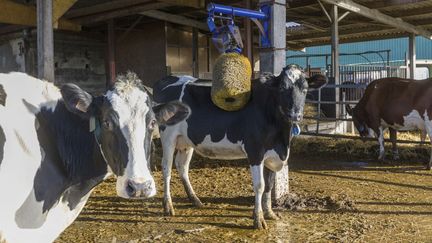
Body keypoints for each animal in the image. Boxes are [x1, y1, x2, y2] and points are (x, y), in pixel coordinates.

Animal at [154, 64, 326, 230]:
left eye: (305, 89)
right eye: (282, 88)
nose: (295, 115)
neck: (281, 138)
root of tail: (169, 78)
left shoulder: (272, 154)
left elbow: (269, 185)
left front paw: (270, 213)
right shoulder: (255, 151)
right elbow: (260, 186)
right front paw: (258, 219)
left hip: (186, 141)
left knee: (182, 166)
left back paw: (195, 200)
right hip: (168, 137)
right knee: (167, 168)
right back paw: (168, 206)